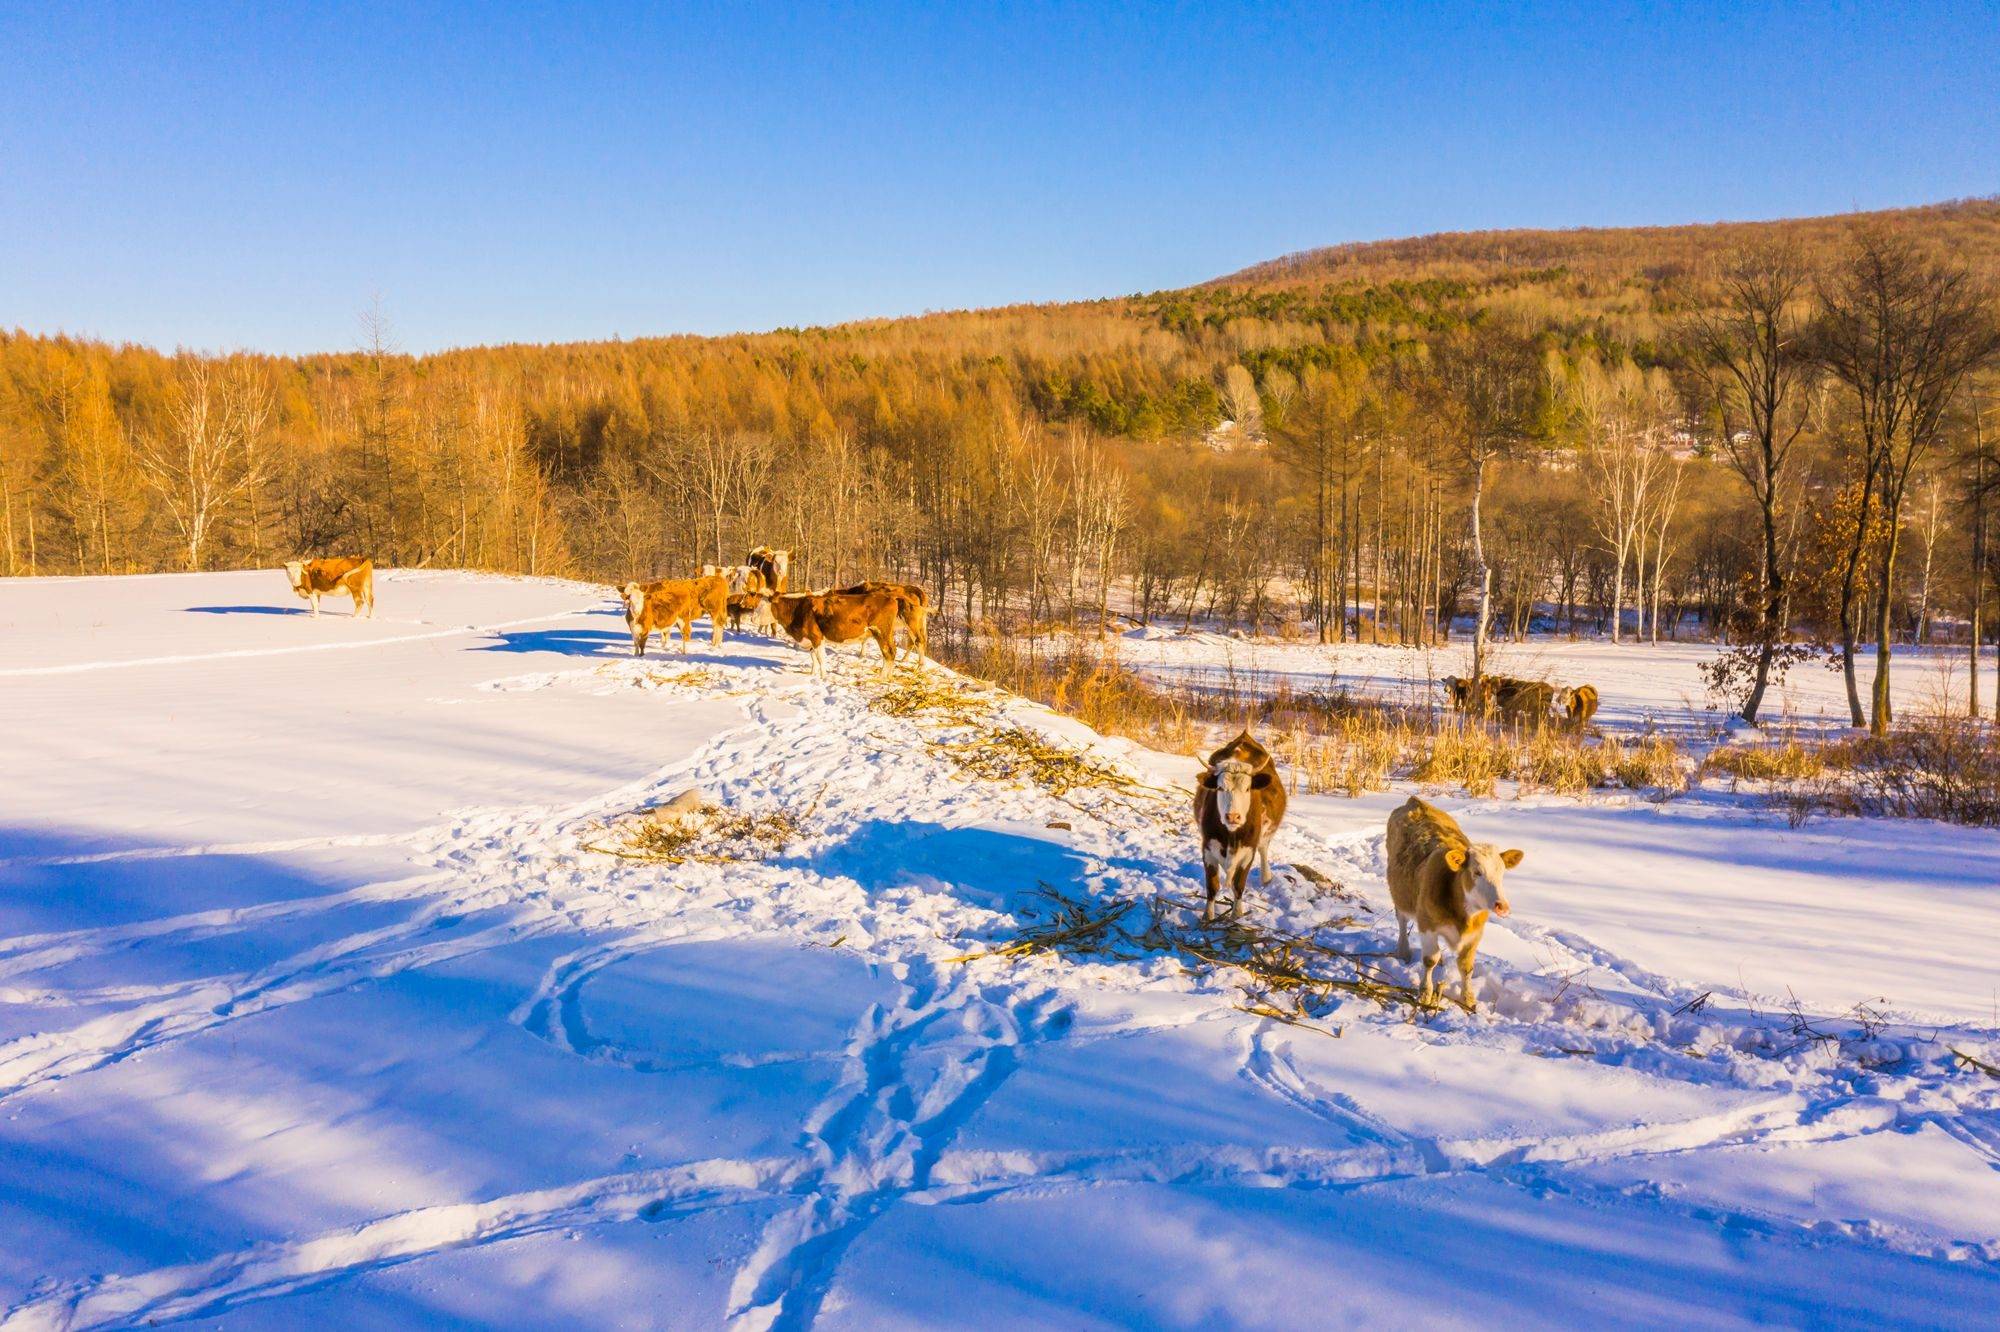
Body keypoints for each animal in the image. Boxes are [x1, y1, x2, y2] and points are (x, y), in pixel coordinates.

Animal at [1192, 728, 1288, 924]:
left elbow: (1238, 885)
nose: (1233, 816)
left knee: (1264, 848)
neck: (1231, 836)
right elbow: (1212, 886)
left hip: (1264, 836)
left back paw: (1266, 877)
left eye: (1247, 789)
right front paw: (1208, 916)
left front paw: (1237, 914)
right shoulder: (1208, 849)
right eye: (1220, 788)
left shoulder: (1248, 852)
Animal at [1392, 800, 1512, 1008]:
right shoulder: (1427, 925)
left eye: (1502, 873)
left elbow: (1466, 966)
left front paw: (1468, 998)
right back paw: (1404, 951)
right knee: (1402, 920)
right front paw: (1425, 994)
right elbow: (1429, 960)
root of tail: (1416, 801)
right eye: (1476, 872)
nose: (1502, 906)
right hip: (1399, 895)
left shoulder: (1476, 933)